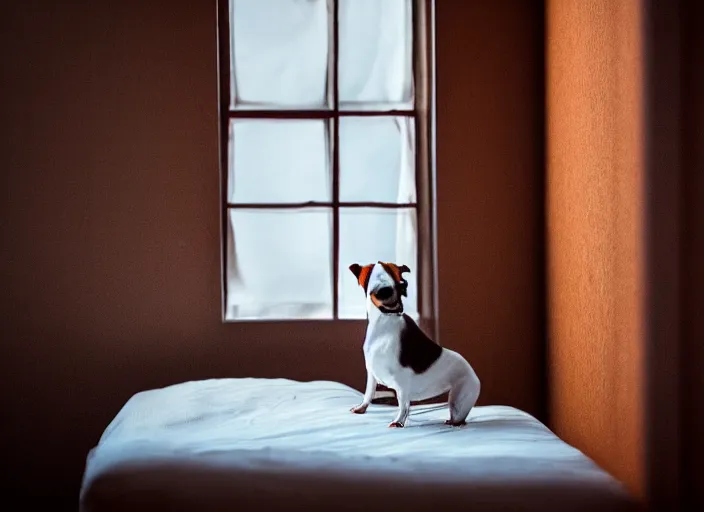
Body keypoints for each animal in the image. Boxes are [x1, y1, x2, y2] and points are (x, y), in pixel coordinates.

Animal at [350, 260, 482, 428]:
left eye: (402, 285)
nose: (391, 290)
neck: (384, 322)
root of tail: (474, 374)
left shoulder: (402, 382)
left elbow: (403, 405)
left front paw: (398, 422)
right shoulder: (372, 375)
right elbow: (368, 394)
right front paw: (362, 408)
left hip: (458, 401)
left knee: (459, 418)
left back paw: (453, 423)